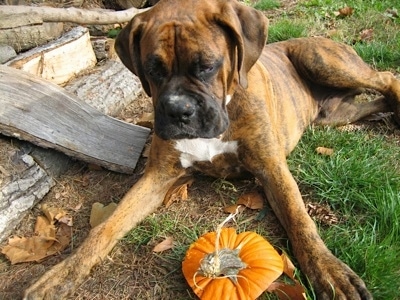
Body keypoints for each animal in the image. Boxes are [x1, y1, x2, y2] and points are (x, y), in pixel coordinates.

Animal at [25, 0, 400, 298]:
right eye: (152, 69)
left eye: (206, 65)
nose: (178, 111)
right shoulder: (157, 177)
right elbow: (106, 226)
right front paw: (61, 275)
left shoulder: (272, 169)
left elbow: (300, 220)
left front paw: (331, 273)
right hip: (334, 116)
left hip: (321, 60)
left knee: (386, 76)